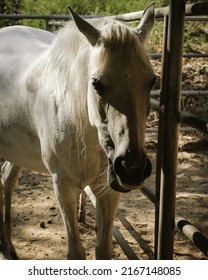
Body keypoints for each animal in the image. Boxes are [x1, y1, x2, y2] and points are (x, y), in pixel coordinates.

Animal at [0, 3, 155, 260]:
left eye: (152, 81)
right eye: (96, 84)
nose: (132, 168)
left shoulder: (108, 193)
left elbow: (103, 250)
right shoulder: (64, 187)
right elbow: (76, 252)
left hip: (17, 153)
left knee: (6, 181)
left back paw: (9, 249)